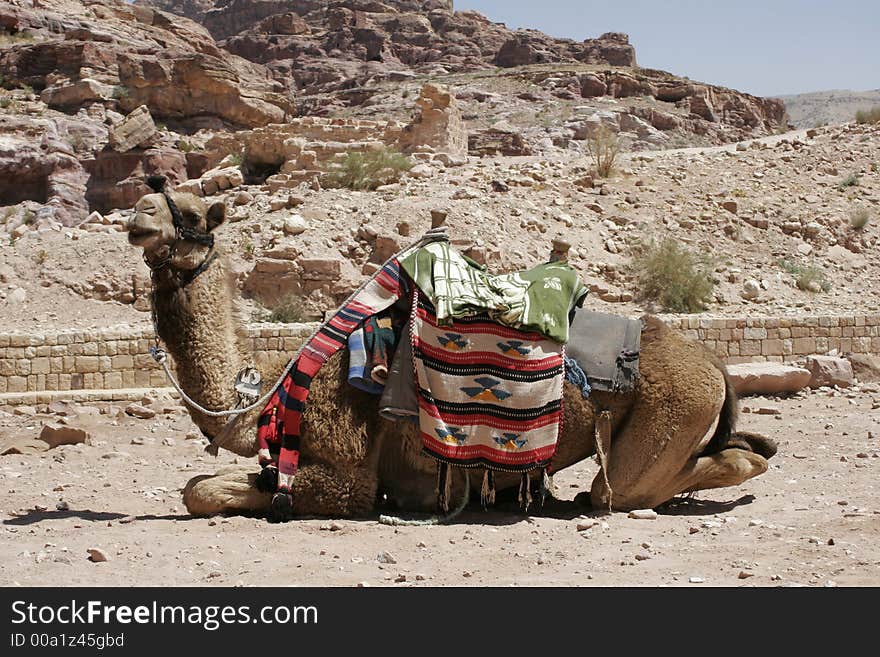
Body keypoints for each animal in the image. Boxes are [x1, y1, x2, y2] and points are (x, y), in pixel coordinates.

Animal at [127, 187, 772, 520]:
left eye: (191, 213)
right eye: (153, 195)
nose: (138, 214)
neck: (268, 395)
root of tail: (716, 365)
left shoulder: (350, 476)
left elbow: (202, 491)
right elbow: (199, 484)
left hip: (668, 415)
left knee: (631, 486)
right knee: (743, 452)